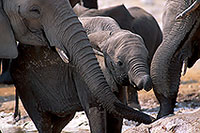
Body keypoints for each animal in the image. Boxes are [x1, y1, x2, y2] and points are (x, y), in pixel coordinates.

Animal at [0, 0, 155, 130]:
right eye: (119, 63)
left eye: (148, 57)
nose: (152, 119)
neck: (109, 33)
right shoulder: (82, 75)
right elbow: (96, 112)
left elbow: (116, 118)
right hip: (25, 82)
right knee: (43, 121)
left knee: (61, 121)